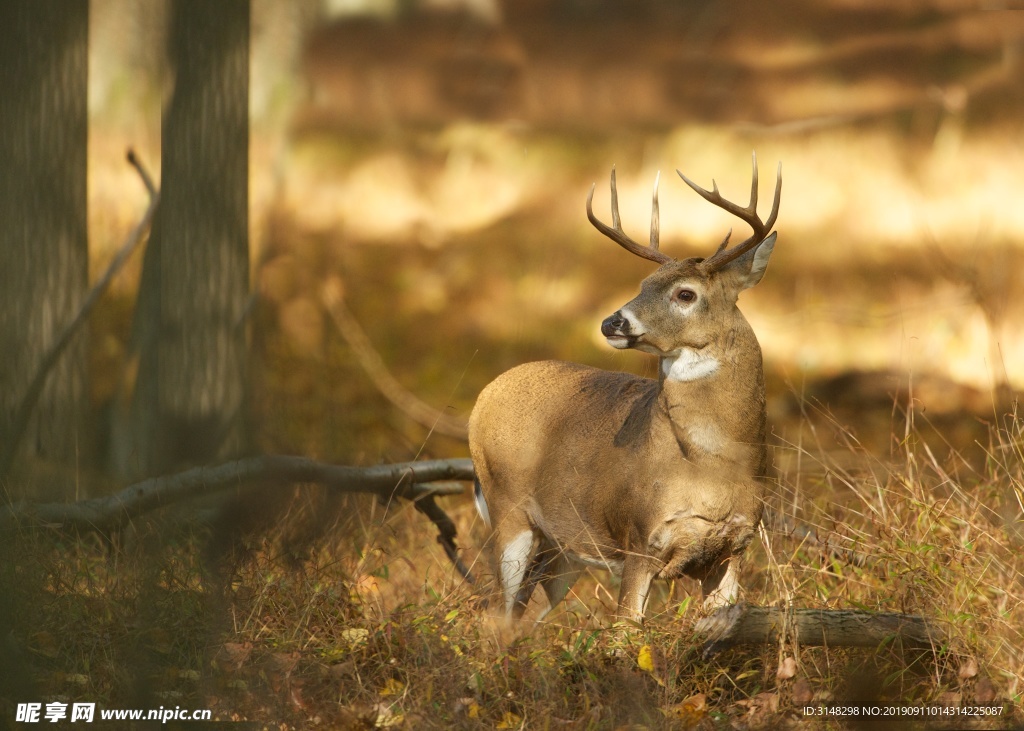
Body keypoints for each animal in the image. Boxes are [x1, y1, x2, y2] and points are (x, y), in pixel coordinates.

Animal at [468, 153, 778, 622]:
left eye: (685, 294)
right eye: (642, 285)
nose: (611, 322)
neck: (712, 469)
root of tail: (483, 397)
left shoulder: (733, 549)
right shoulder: (639, 540)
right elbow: (625, 631)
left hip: (563, 549)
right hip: (507, 509)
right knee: (495, 616)